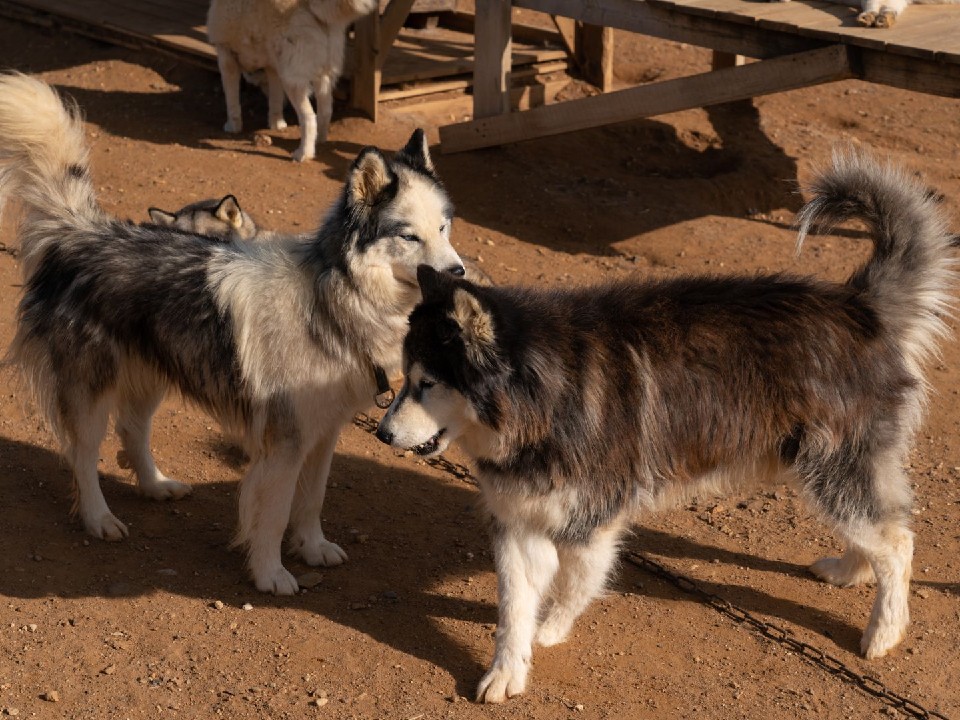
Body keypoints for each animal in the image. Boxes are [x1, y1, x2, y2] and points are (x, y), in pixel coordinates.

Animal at [378, 149, 956, 700]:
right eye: (406, 376)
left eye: (428, 382)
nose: (381, 433)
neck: (541, 395)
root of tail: (858, 305)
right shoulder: (517, 521)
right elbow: (512, 611)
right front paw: (505, 673)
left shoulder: (592, 521)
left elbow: (573, 585)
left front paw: (551, 630)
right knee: (878, 528)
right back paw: (850, 570)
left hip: (834, 468)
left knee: (897, 542)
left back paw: (884, 630)